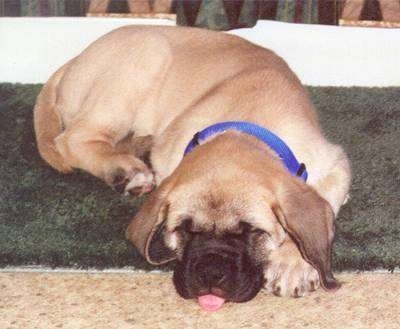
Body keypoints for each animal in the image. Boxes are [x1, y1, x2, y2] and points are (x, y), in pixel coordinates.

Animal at [36, 25, 352, 308]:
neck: (247, 124)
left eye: (251, 232)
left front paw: (292, 262)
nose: (211, 273)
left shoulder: (335, 165)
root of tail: (74, 60)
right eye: (183, 229)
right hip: (142, 61)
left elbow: (322, 203)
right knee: (71, 139)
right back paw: (126, 169)